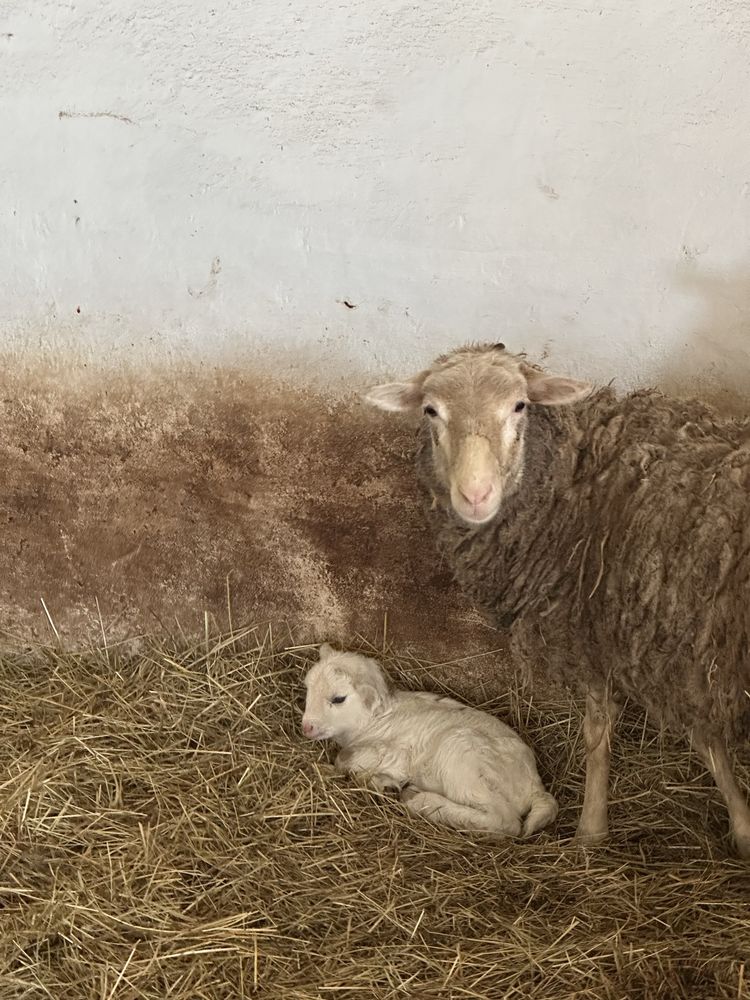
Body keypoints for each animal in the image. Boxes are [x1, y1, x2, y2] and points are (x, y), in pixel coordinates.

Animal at [302, 640, 560, 836]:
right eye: (308, 689)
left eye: (338, 699)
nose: (307, 727)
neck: (377, 719)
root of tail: (535, 784)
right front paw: (385, 784)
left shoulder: (398, 752)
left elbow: (345, 757)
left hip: (462, 756)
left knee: (503, 822)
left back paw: (425, 803)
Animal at [368, 344, 750, 860]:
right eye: (431, 411)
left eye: (519, 406)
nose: (475, 495)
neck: (578, 473)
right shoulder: (683, 647)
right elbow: (705, 737)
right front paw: (743, 823)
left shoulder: (602, 626)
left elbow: (602, 730)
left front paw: (591, 830)